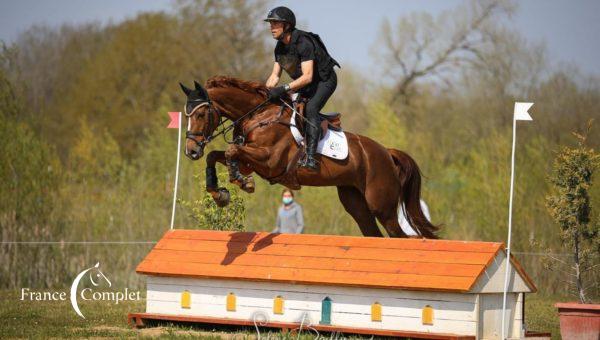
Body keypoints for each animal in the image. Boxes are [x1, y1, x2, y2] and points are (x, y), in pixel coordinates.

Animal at [180, 75, 438, 238]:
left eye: (201, 114)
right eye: (187, 114)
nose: (190, 151)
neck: (259, 115)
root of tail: (386, 152)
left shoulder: (269, 161)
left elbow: (231, 152)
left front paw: (242, 182)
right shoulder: (250, 161)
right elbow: (215, 155)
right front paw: (219, 193)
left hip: (381, 206)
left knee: (399, 235)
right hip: (356, 203)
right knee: (373, 233)